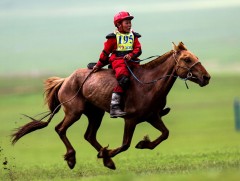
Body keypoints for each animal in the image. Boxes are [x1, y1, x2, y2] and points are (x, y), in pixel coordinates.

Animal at [11, 42, 210, 170]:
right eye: (186, 59)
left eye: (196, 57)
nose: (206, 77)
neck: (148, 84)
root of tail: (65, 79)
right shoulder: (130, 119)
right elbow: (125, 144)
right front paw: (111, 153)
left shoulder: (152, 116)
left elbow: (165, 134)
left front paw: (142, 144)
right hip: (74, 112)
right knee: (60, 129)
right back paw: (73, 158)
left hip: (95, 114)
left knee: (89, 135)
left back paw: (104, 158)